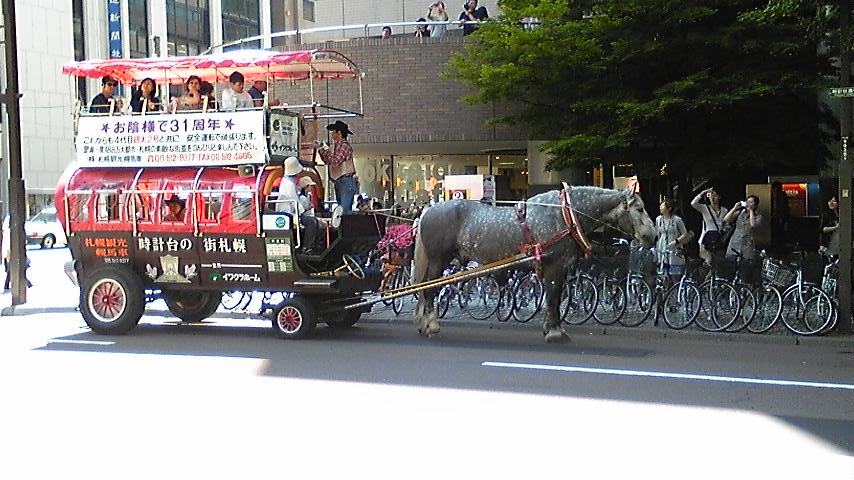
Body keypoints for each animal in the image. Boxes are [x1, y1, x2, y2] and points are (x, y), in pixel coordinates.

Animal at [412, 185, 660, 342]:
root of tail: (428, 210)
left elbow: (554, 300)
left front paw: (551, 329)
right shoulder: (555, 267)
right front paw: (555, 333)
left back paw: (423, 324)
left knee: (424, 289)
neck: (565, 217)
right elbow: (553, 299)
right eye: (639, 209)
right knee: (429, 290)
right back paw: (432, 325)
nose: (654, 236)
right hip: (438, 260)